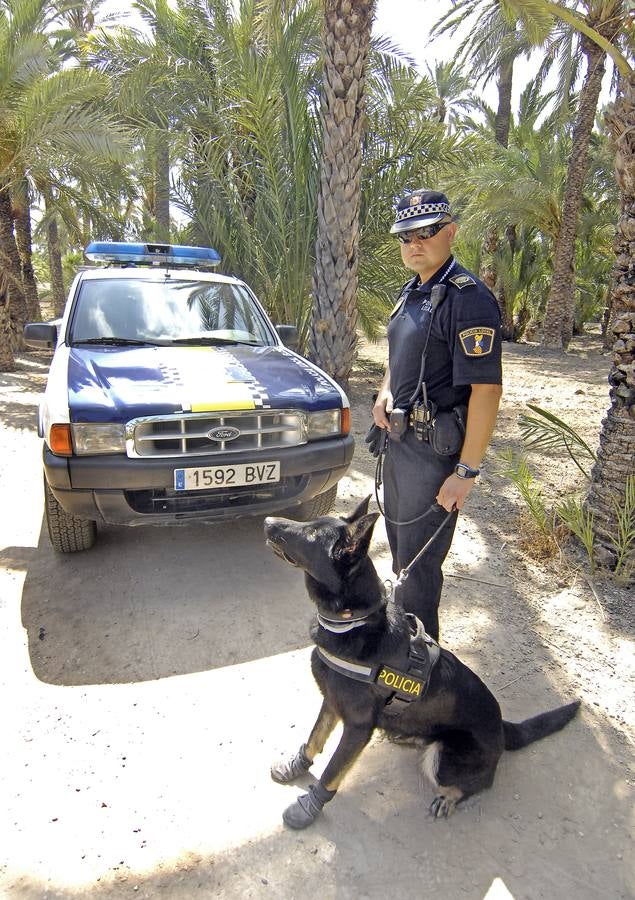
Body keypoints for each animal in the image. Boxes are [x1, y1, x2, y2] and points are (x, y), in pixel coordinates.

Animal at [264, 496, 580, 828]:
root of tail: (503, 727)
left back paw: (449, 796)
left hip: (444, 756)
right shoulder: (332, 702)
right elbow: (314, 737)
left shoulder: (357, 727)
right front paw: (298, 764)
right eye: (309, 525)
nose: (268, 521)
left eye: (311, 535)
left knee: (482, 781)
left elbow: (332, 772)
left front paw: (309, 806)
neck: (355, 621)